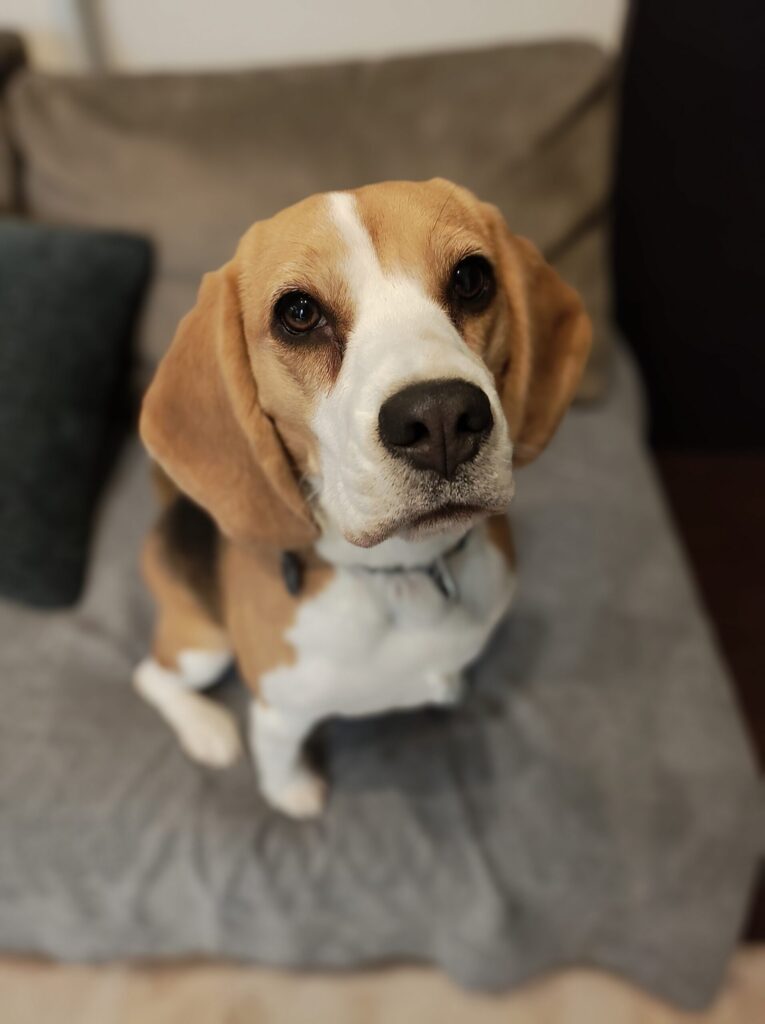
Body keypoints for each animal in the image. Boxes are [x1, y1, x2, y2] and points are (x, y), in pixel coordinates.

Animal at [134, 178, 591, 818]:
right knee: (151, 676)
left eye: (472, 278)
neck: (402, 573)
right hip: (204, 646)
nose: (441, 418)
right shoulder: (278, 713)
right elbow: (277, 759)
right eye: (299, 314)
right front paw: (293, 794)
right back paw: (207, 729)